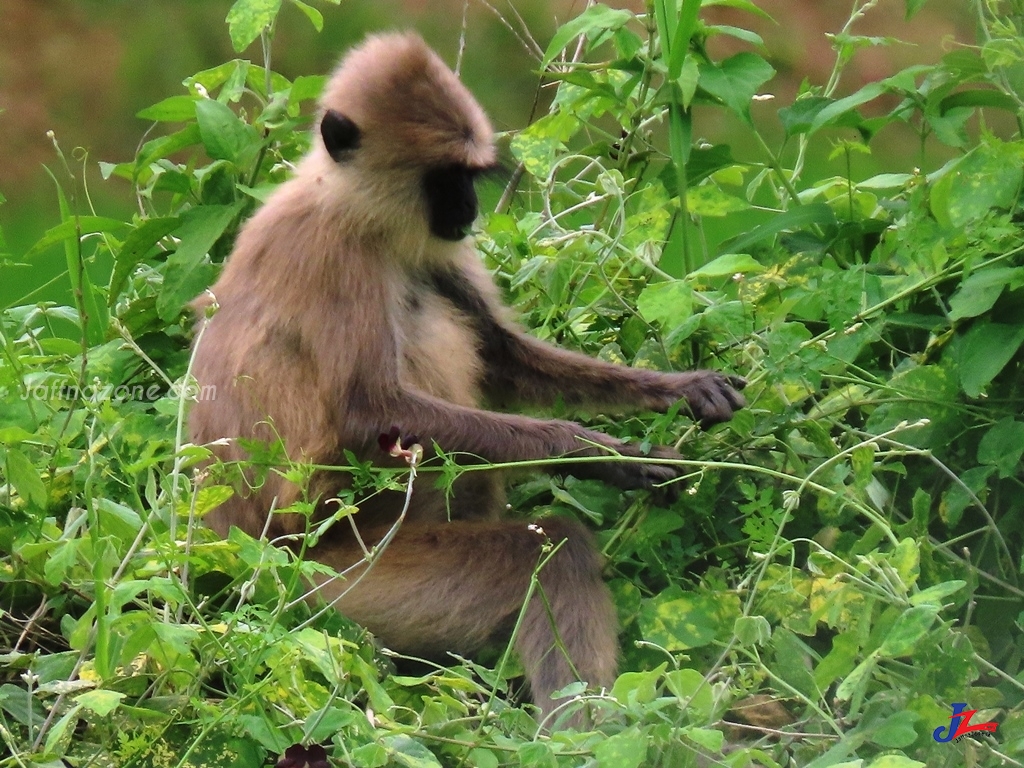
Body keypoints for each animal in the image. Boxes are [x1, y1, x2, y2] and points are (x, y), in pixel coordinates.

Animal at [188, 33, 745, 720]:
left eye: (471, 178)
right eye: (444, 179)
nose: (470, 208)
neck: (344, 202)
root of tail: (229, 554)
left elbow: (504, 356)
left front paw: (681, 389)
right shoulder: (332, 251)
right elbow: (366, 415)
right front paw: (603, 455)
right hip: (336, 583)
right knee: (552, 547)